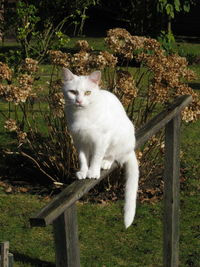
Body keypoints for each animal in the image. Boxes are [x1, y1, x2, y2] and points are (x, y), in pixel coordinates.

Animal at [62, 68, 139, 229]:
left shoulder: (101, 139)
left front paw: (93, 172)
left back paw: (106, 162)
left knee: (113, 156)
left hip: (119, 137)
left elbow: (97, 157)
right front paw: (83, 171)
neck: (82, 115)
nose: (79, 101)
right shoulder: (79, 141)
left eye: (87, 93)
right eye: (73, 92)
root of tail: (130, 149)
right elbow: (82, 158)